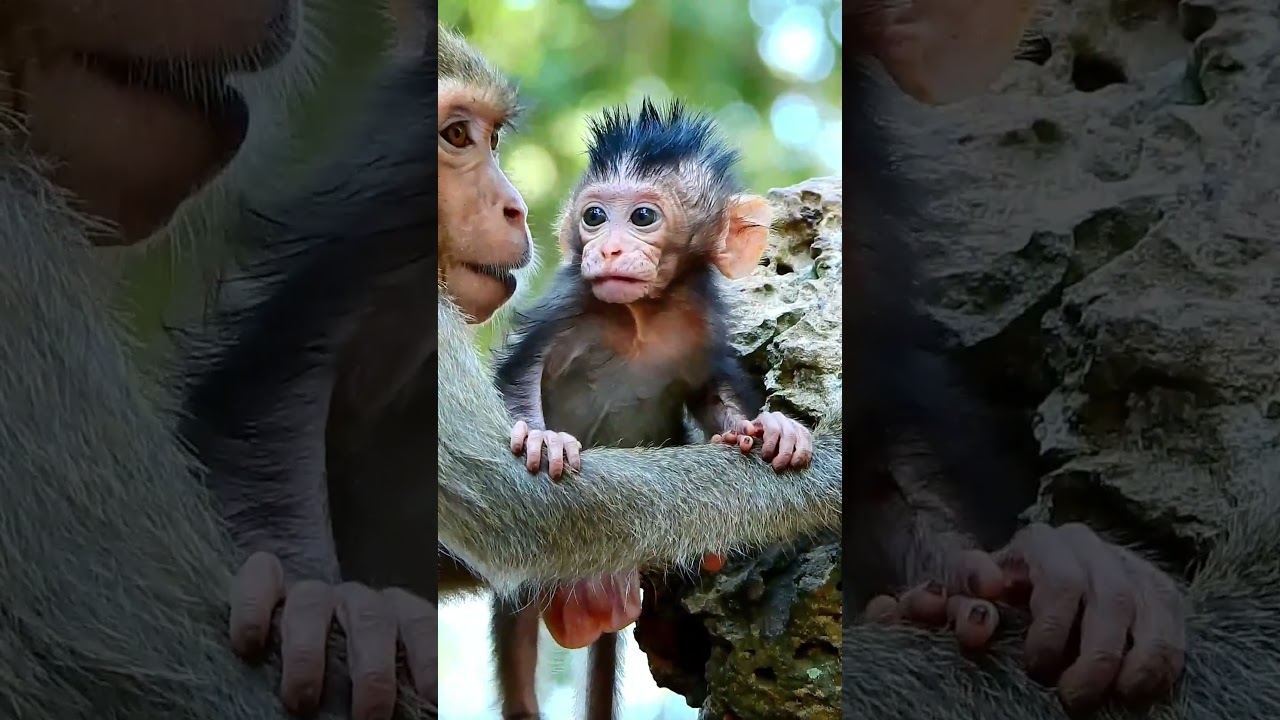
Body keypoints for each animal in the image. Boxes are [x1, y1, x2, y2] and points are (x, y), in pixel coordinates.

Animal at [487, 99, 815, 720]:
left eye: (642, 217)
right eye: (594, 216)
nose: (608, 248)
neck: (642, 313)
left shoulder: (700, 324)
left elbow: (712, 395)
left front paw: (771, 429)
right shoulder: (569, 305)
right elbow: (520, 373)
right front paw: (542, 439)